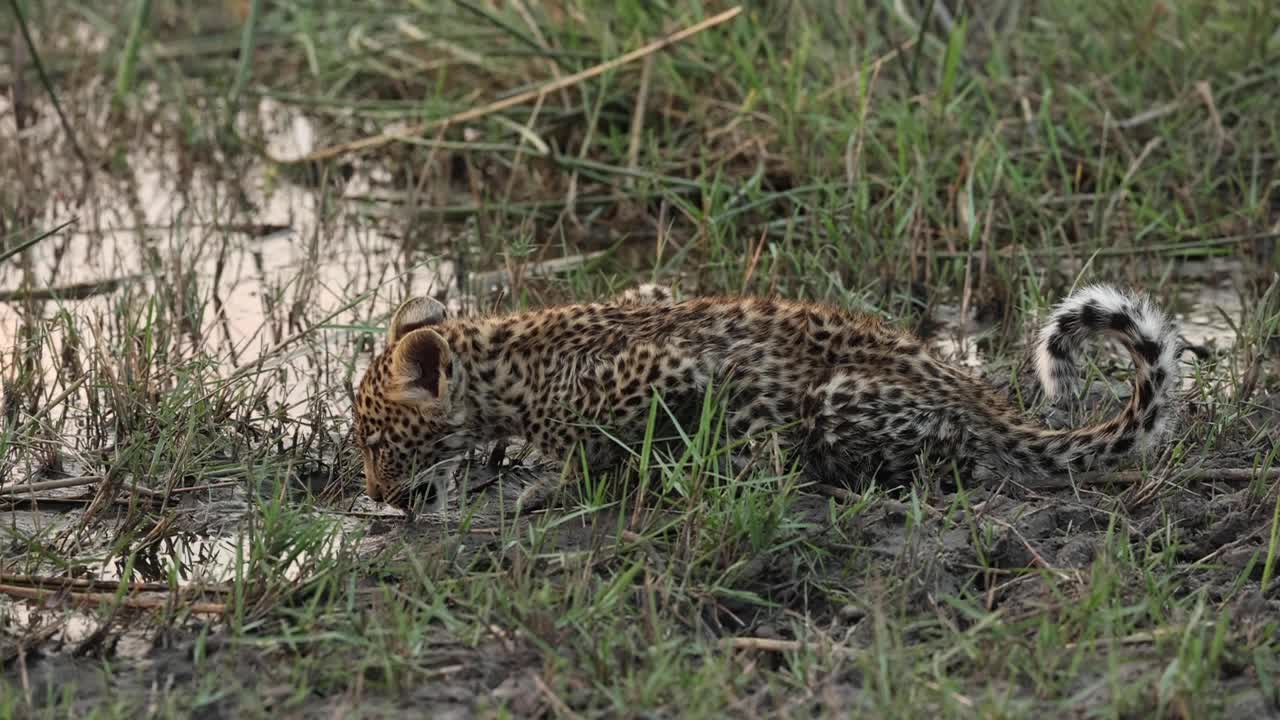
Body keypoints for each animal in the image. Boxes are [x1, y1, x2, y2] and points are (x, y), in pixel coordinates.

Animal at [353, 282, 1184, 514]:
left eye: (377, 443)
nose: (382, 500)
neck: (510, 368)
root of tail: (990, 405)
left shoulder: (682, 368)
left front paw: (547, 487)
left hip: (840, 397)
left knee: (954, 459)